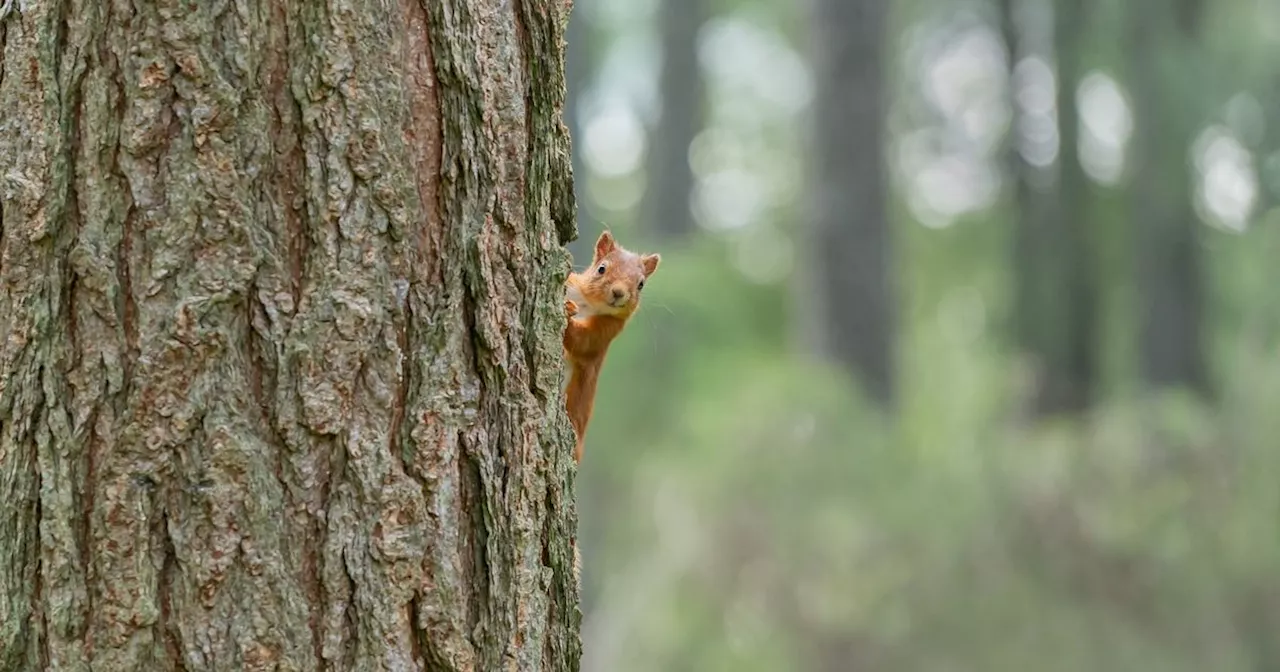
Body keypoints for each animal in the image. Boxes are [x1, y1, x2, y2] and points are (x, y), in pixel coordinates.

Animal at [563, 230, 660, 460]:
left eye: (641, 284)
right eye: (601, 268)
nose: (618, 293)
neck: (588, 304)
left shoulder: (606, 331)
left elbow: (583, 343)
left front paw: (567, 318)